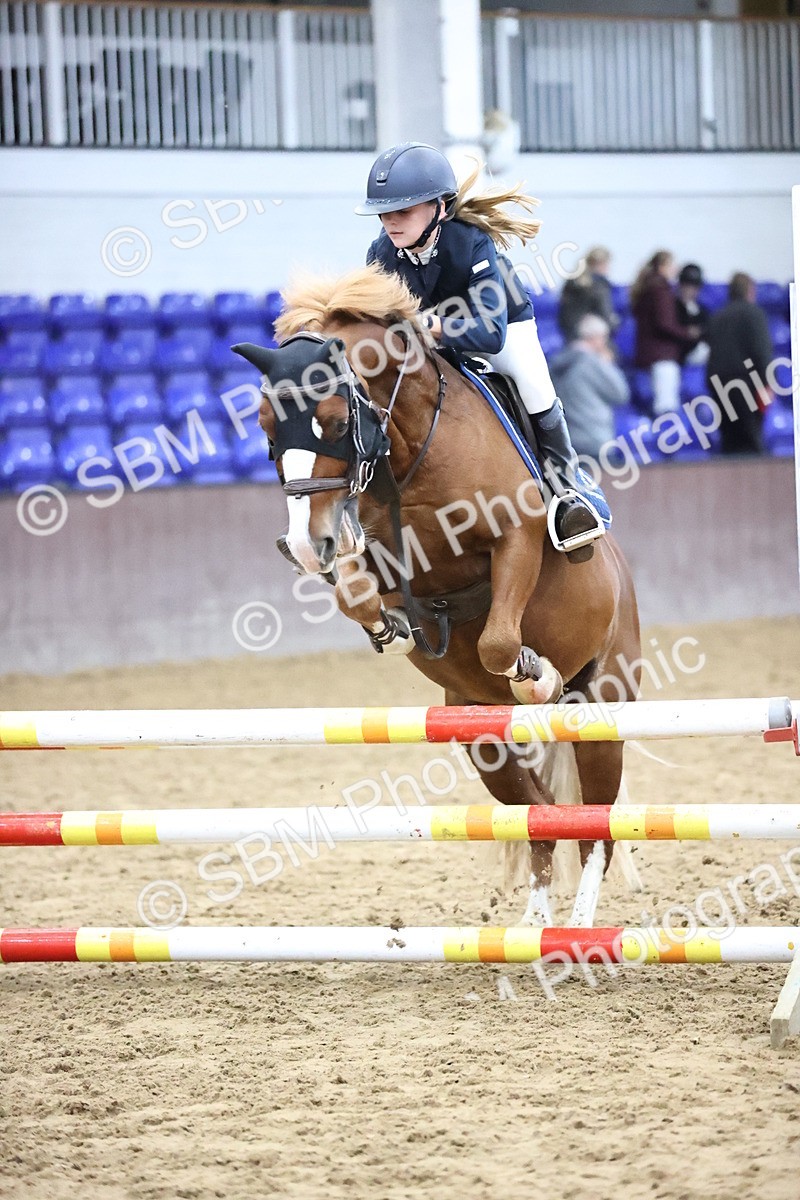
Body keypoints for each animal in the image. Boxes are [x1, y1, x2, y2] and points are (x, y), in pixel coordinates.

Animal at [233, 264, 641, 927]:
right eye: (267, 427)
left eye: (334, 421)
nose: (303, 545)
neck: (411, 450)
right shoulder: (367, 547)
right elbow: (354, 594)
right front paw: (392, 631)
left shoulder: (517, 535)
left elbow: (499, 643)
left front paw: (536, 677)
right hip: (481, 739)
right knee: (539, 816)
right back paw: (534, 926)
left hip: (603, 704)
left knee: (593, 827)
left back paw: (579, 925)